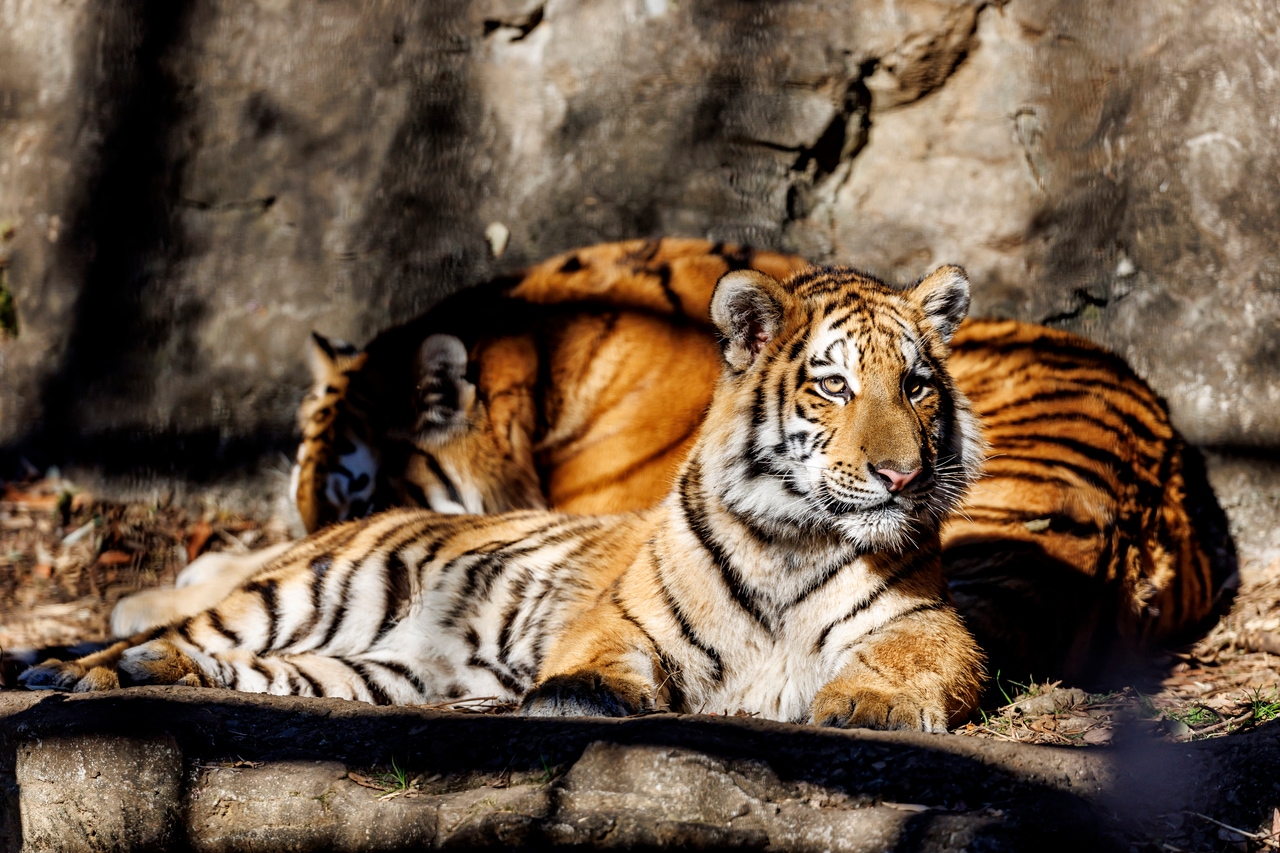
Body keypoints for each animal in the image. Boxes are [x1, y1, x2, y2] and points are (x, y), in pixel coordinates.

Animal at [20, 262, 983, 727]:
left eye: (916, 386)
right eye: (832, 386)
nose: (900, 475)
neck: (795, 538)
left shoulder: (929, 623)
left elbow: (913, 660)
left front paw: (871, 701)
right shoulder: (619, 617)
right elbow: (604, 659)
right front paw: (581, 696)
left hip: (378, 667)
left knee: (246, 667)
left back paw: (135, 671)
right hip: (294, 597)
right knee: (180, 629)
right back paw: (65, 668)